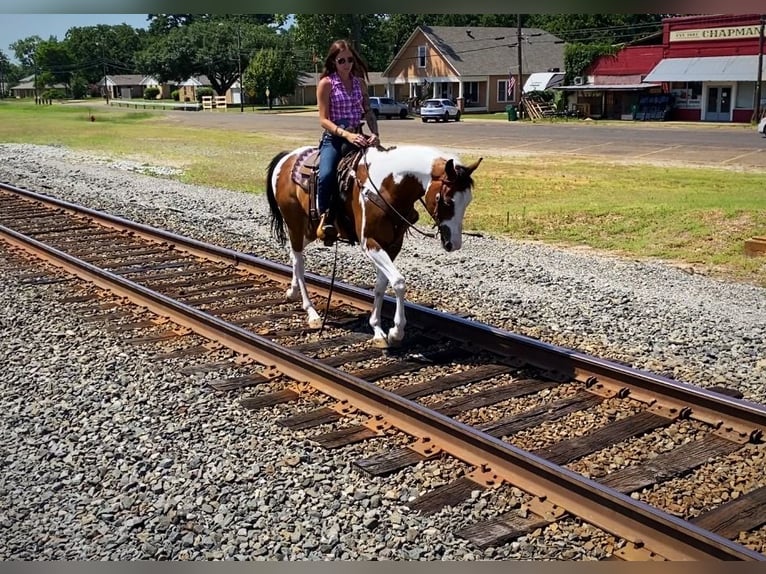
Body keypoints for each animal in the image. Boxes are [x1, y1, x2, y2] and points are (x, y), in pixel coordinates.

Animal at [265, 143, 482, 348]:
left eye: (468, 201)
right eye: (447, 201)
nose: (454, 243)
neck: (386, 186)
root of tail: (287, 157)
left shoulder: (392, 245)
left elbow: (380, 285)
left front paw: (378, 330)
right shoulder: (370, 243)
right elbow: (398, 282)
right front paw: (396, 332)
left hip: (309, 229)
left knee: (294, 257)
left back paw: (292, 292)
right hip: (294, 223)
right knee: (299, 263)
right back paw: (312, 313)